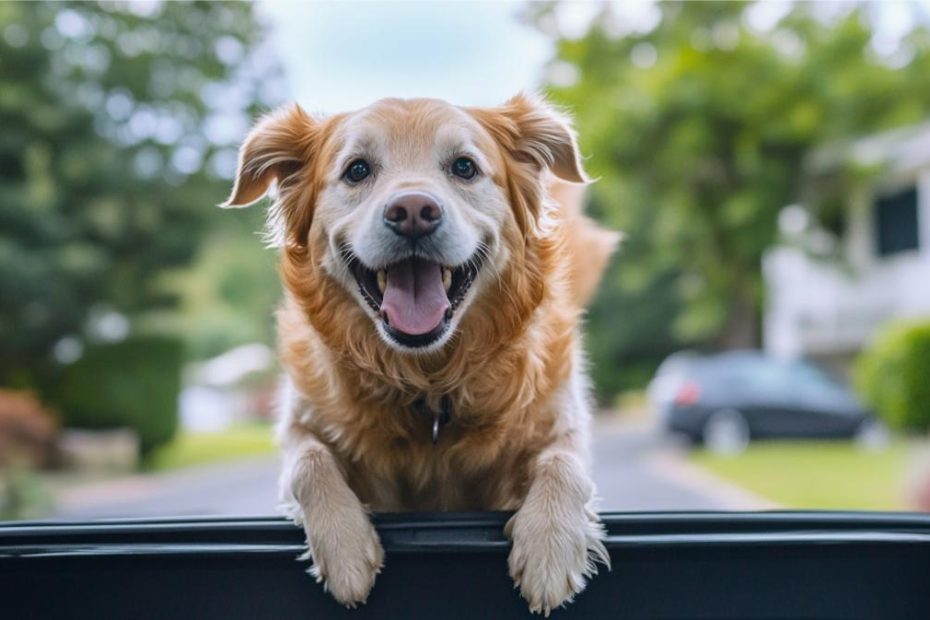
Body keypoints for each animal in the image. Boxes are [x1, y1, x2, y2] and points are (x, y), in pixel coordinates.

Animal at [221, 94, 616, 612]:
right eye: (357, 170)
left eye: (465, 167)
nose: (412, 210)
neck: (428, 378)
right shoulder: (300, 421)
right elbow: (309, 461)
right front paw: (345, 550)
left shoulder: (559, 418)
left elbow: (564, 463)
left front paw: (550, 547)